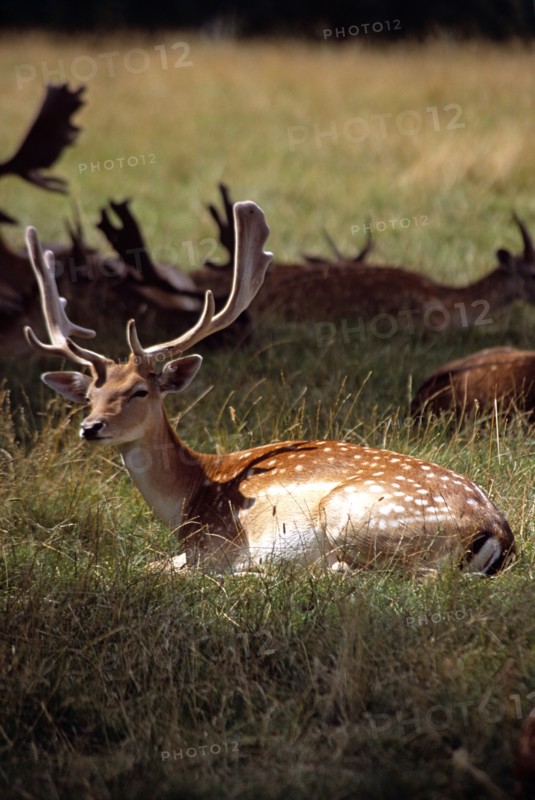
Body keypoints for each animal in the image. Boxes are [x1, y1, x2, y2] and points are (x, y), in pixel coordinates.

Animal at [24, 201, 516, 576]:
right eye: (89, 396)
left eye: (140, 391)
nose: (91, 427)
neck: (189, 496)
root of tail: (496, 529)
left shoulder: (212, 544)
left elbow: (153, 566)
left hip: (357, 518)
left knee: (382, 575)